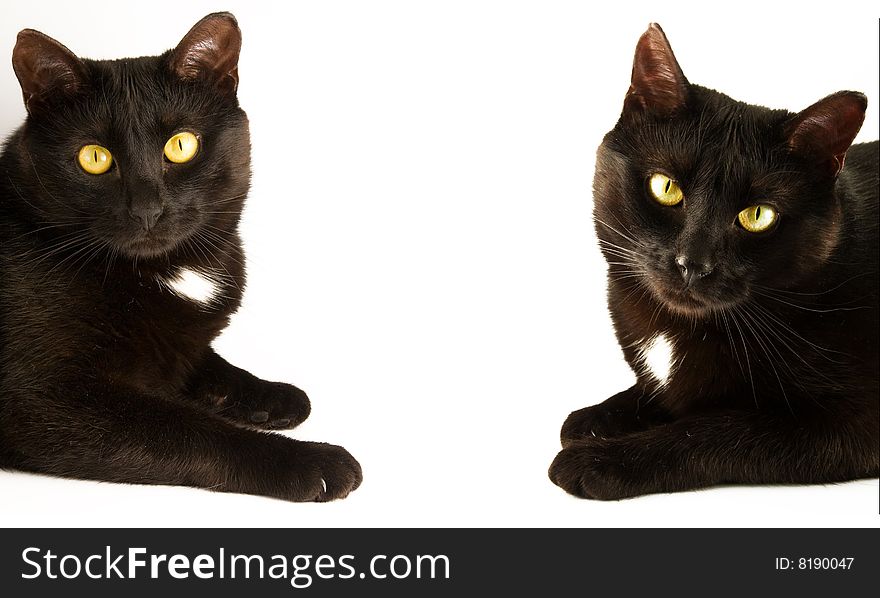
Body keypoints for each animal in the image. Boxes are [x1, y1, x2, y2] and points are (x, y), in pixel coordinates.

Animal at [0, 12, 360, 502]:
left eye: (181, 145)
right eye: (94, 157)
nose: (147, 208)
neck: (165, 269)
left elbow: (203, 359)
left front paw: (271, 396)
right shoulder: (40, 398)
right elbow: (192, 432)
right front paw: (312, 461)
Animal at [552, 23, 880, 500]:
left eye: (757, 215)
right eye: (666, 187)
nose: (693, 263)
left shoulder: (853, 422)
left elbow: (715, 430)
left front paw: (600, 459)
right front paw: (597, 417)